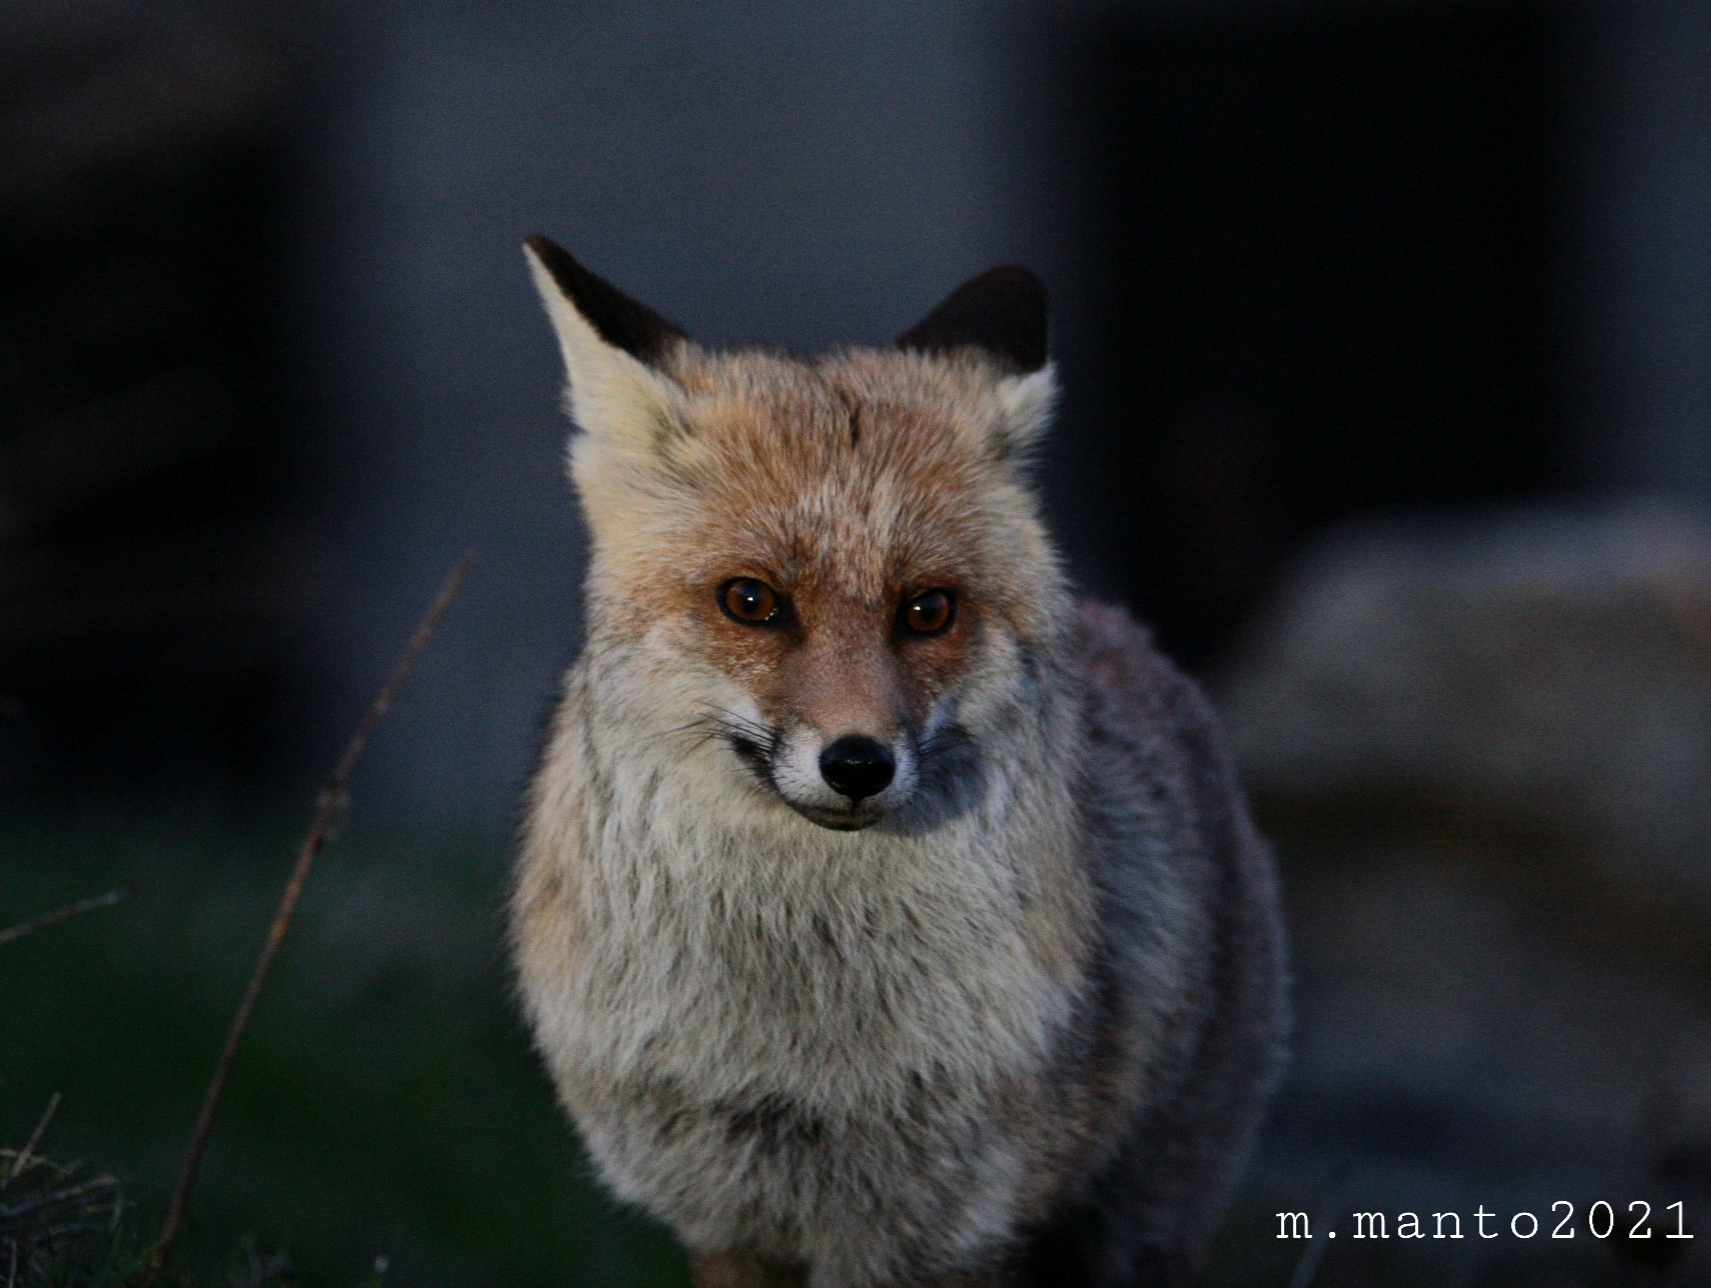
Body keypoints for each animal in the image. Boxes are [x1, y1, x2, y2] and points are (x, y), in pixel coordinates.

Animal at [510, 235, 1288, 1288]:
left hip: (1139, 1228)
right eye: (750, 601)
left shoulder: (940, 1233)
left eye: (927, 610)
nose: (856, 763)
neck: (800, 1045)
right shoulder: (725, 1221)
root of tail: (1136, 636)